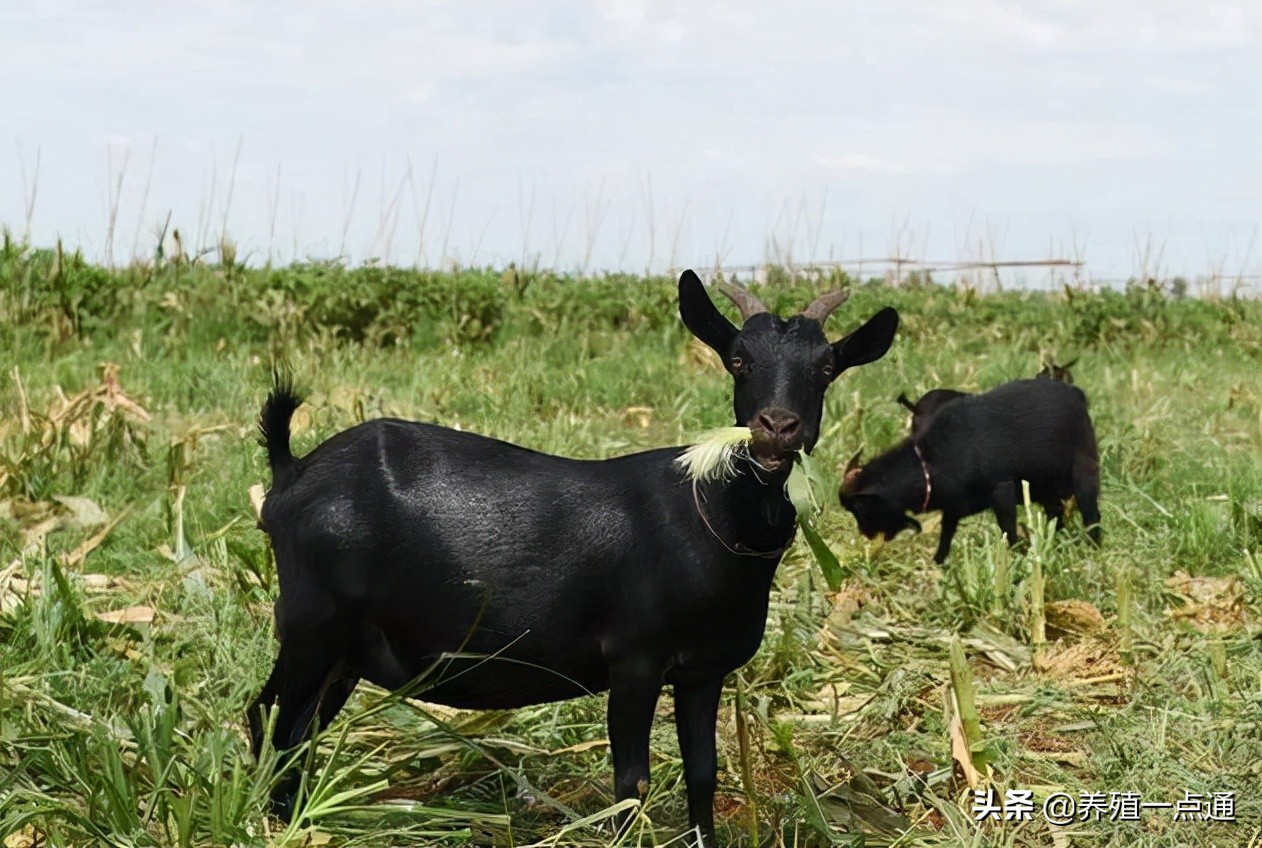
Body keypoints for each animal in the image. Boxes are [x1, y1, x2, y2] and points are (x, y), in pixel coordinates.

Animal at [248, 271, 898, 842]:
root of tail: (290, 474)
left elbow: (703, 773)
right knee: (271, 719)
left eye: (826, 367)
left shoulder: (702, 669)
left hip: (343, 649)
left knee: (297, 728)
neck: (709, 515)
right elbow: (632, 782)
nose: (776, 427)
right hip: (311, 626)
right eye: (738, 359)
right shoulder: (634, 658)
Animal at [843, 381, 1100, 565]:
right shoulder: (955, 506)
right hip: (1043, 486)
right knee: (1056, 512)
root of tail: (1077, 394)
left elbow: (1007, 528)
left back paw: (1094, 549)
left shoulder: (1001, 489)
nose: (865, 534)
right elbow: (946, 534)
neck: (933, 460)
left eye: (861, 508)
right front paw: (938, 564)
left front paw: (1016, 556)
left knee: (1091, 515)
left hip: (1083, 471)